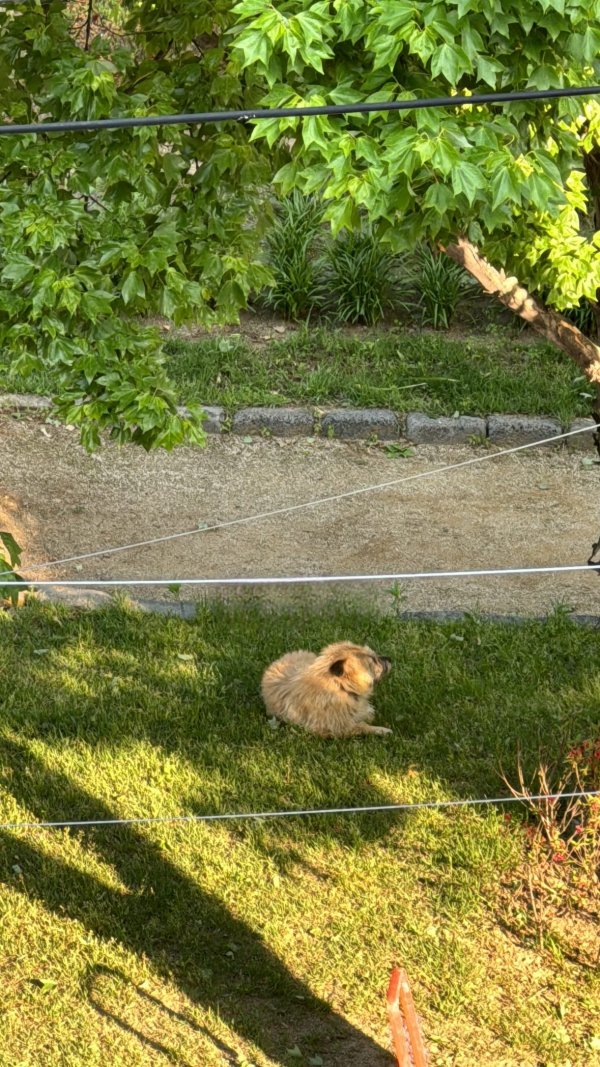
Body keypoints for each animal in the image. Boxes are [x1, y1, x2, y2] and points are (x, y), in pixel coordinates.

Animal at [259, 635, 390, 738]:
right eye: (373, 660)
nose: (389, 658)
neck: (339, 687)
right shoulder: (334, 729)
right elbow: (361, 726)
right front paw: (381, 730)